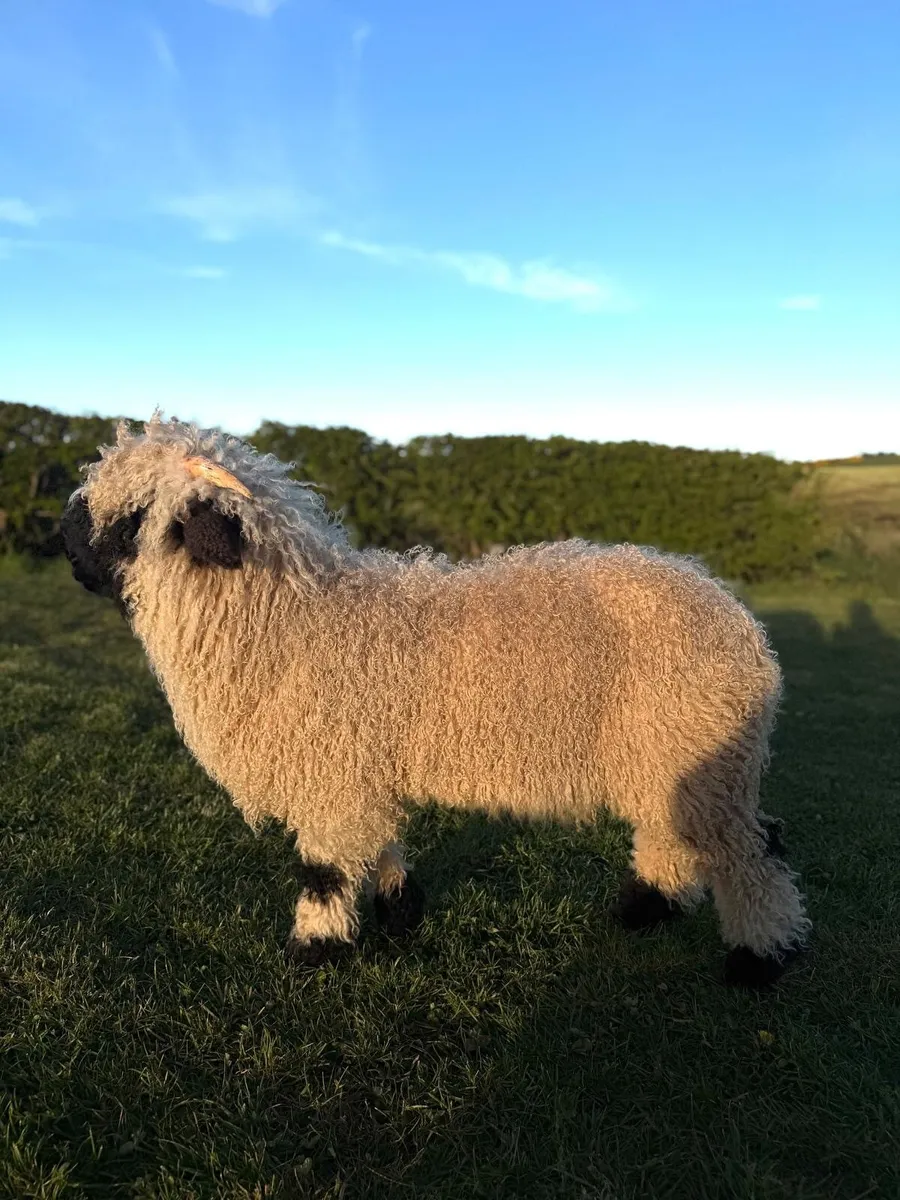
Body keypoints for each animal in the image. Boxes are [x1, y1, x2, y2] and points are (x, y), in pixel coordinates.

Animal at [60, 415, 811, 988]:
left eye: (131, 519)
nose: (61, 547)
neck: (289, 620)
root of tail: (737, 620)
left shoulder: (331, 770)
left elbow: (325, 870)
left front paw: (314, 951)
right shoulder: (359, 764)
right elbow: (381, 844)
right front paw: (399, 912)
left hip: (697, 743)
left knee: (751, 851)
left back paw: (761, 960)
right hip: (665, 749)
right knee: (670, 832)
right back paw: (645, 909)